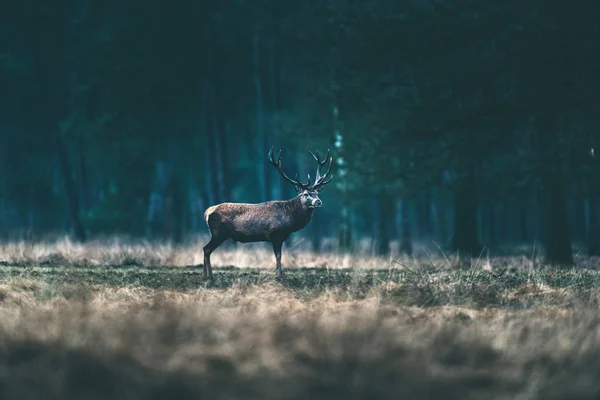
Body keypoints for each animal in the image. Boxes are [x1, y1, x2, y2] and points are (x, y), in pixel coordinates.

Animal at [202, 145, 332, 280]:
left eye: (317, 193)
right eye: (305, 194)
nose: (318, 201)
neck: (291, 220)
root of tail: (207, 212)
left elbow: (279, 256)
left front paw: (280, 275)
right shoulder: (276, 234)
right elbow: (278, 256)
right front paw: (279, 276)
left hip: (217, 233)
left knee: (206, 249)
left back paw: (206, 276)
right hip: (219, 233)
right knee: (206, 249)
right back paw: (208, 277)